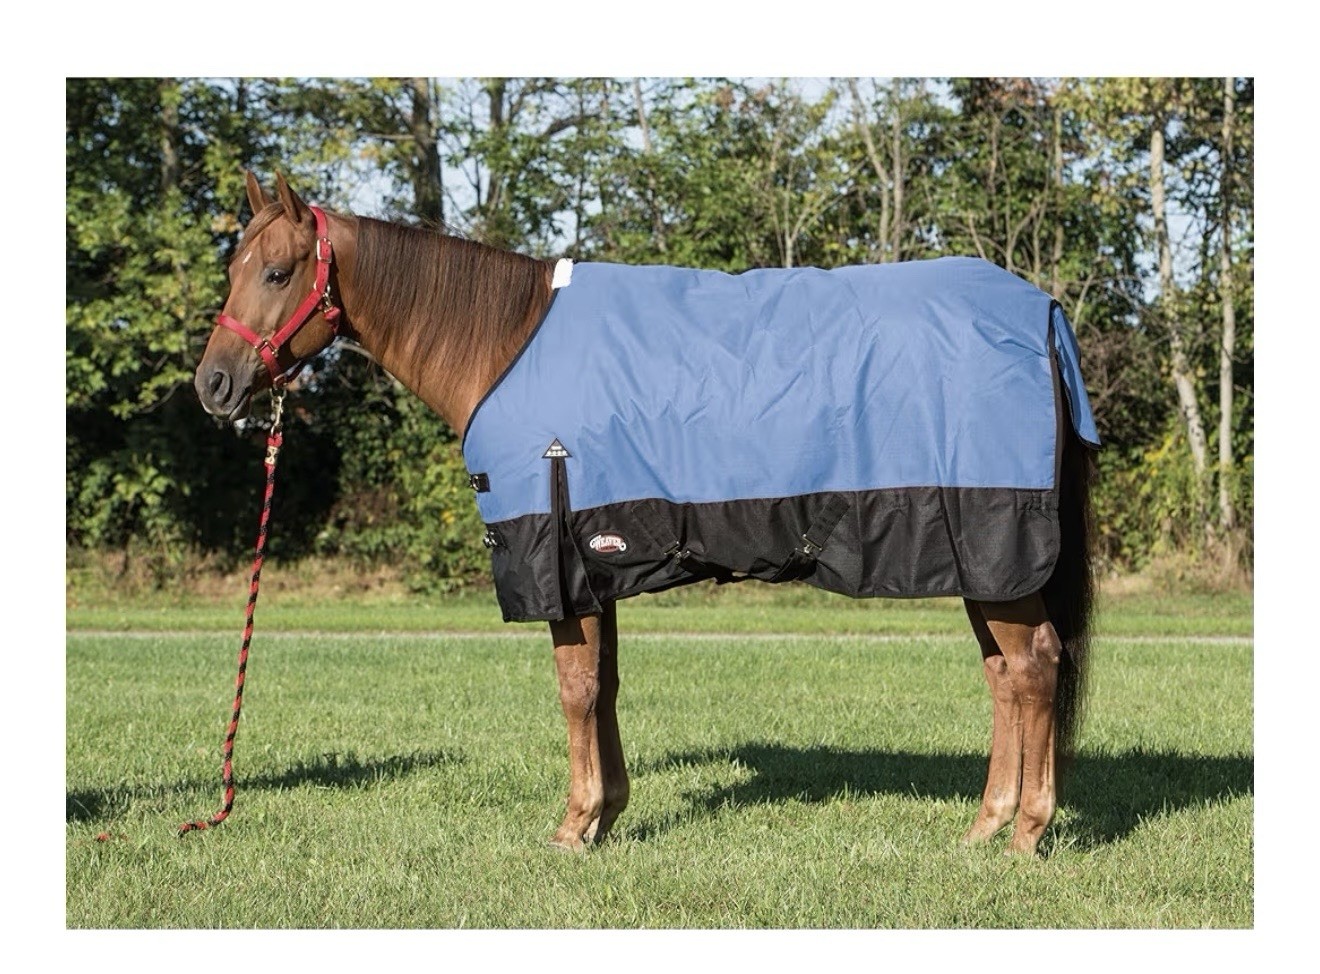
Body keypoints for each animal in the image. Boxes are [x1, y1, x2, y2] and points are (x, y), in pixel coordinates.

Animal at [195, 172, 1097, 856]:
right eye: (235, 267)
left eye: (277, 272)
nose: (214, 385)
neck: (505, 344)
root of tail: (1043, 318)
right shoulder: (598, 558)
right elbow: (606, 686)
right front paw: (607, 814)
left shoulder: (555, 559)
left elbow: (574, 688)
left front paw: (573, 825)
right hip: (981, 563)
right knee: (1006, 677)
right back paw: (985, 827)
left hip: (998, 547)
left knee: (1036, 666)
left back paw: (1026, 834)